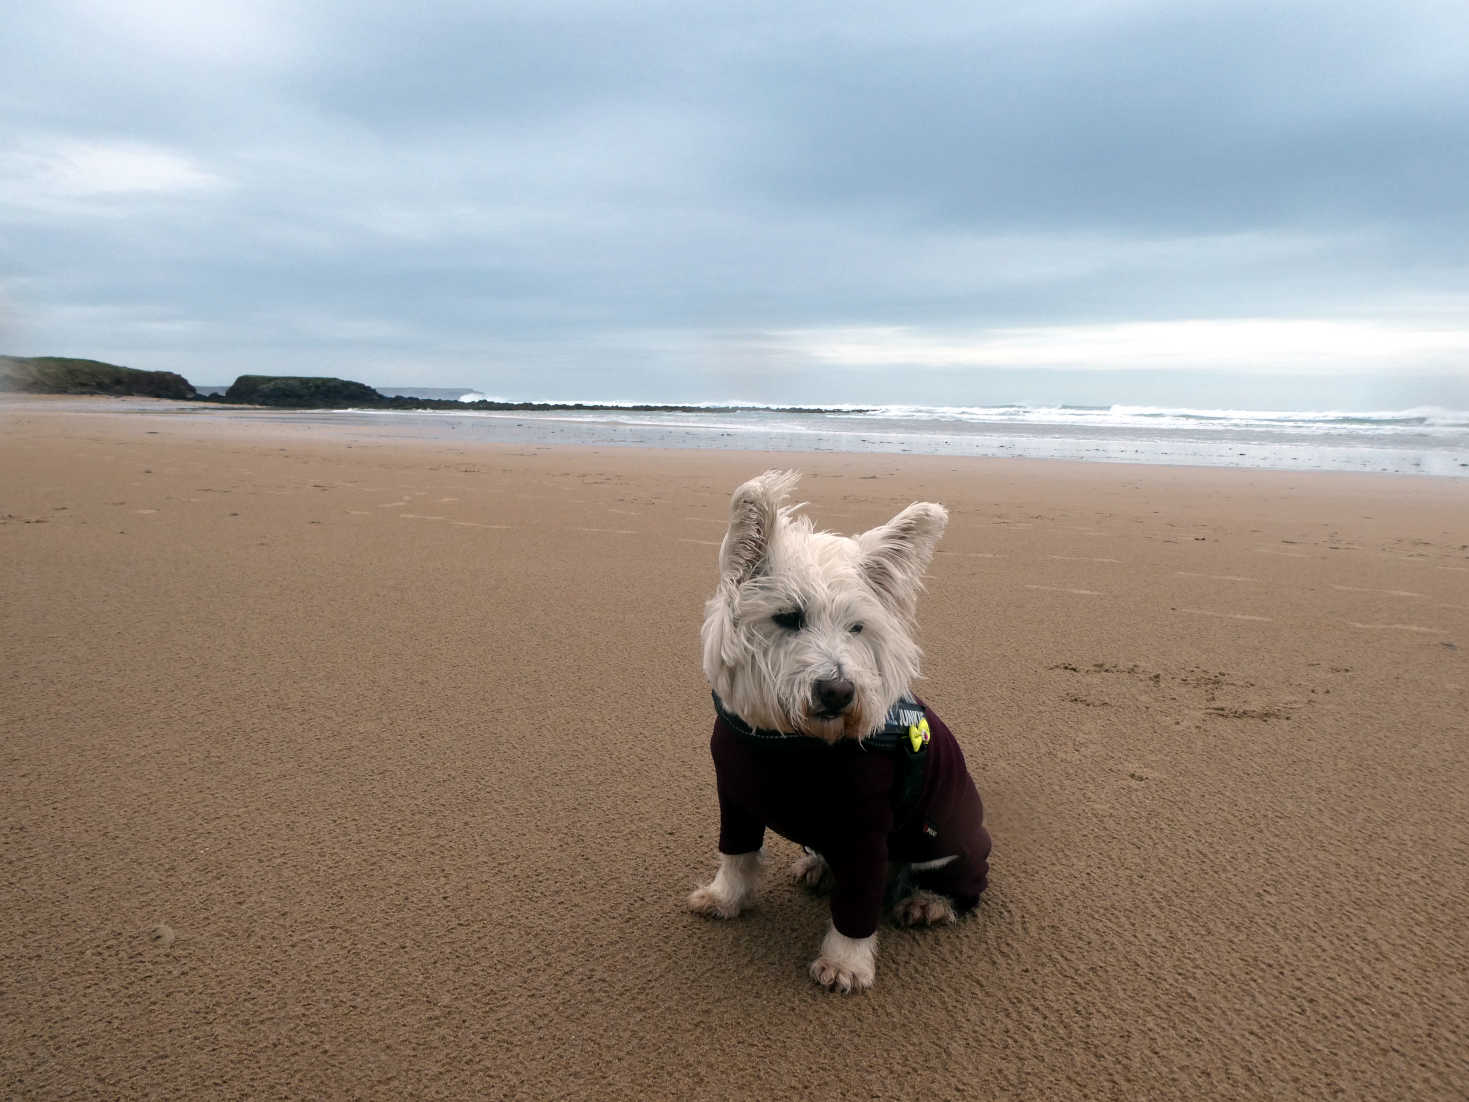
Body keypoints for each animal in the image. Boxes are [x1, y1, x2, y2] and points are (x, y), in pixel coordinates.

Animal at [684, 470, 987, 999]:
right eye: (787, 617)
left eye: (857, 628)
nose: (838, 691)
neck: (789, 743)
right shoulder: (736, 798)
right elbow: (737, 856)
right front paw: (724, 898)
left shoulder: (864, 829)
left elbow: (857, 907)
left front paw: (845, 963)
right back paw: (818, 867)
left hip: (949, 845)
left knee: (957, 887)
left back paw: (927, 903)